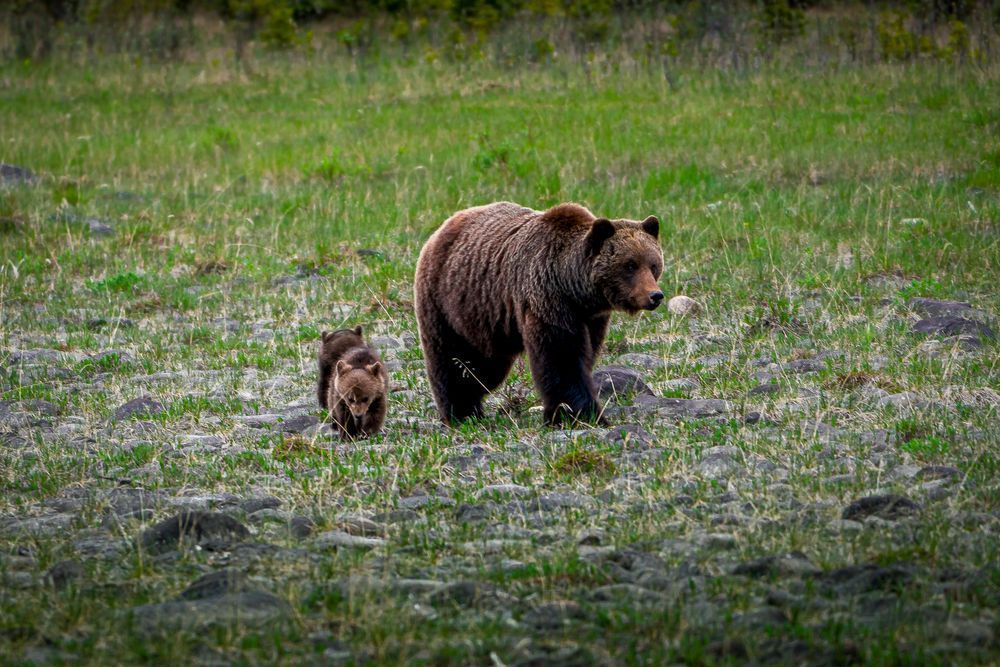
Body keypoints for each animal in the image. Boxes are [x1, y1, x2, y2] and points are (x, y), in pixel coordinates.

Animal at [414, 201, 663, 426]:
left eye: (653, 265)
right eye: (629, 265)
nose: (655, 295)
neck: (574, 288)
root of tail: (442, 228)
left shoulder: (592, 318)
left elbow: (584, 355)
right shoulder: (547, 301)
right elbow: (562, 359)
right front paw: (580, 414)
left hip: (486, 320)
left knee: (484, 367)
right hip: (446, 302)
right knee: (452, 359)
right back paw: (461, 412)